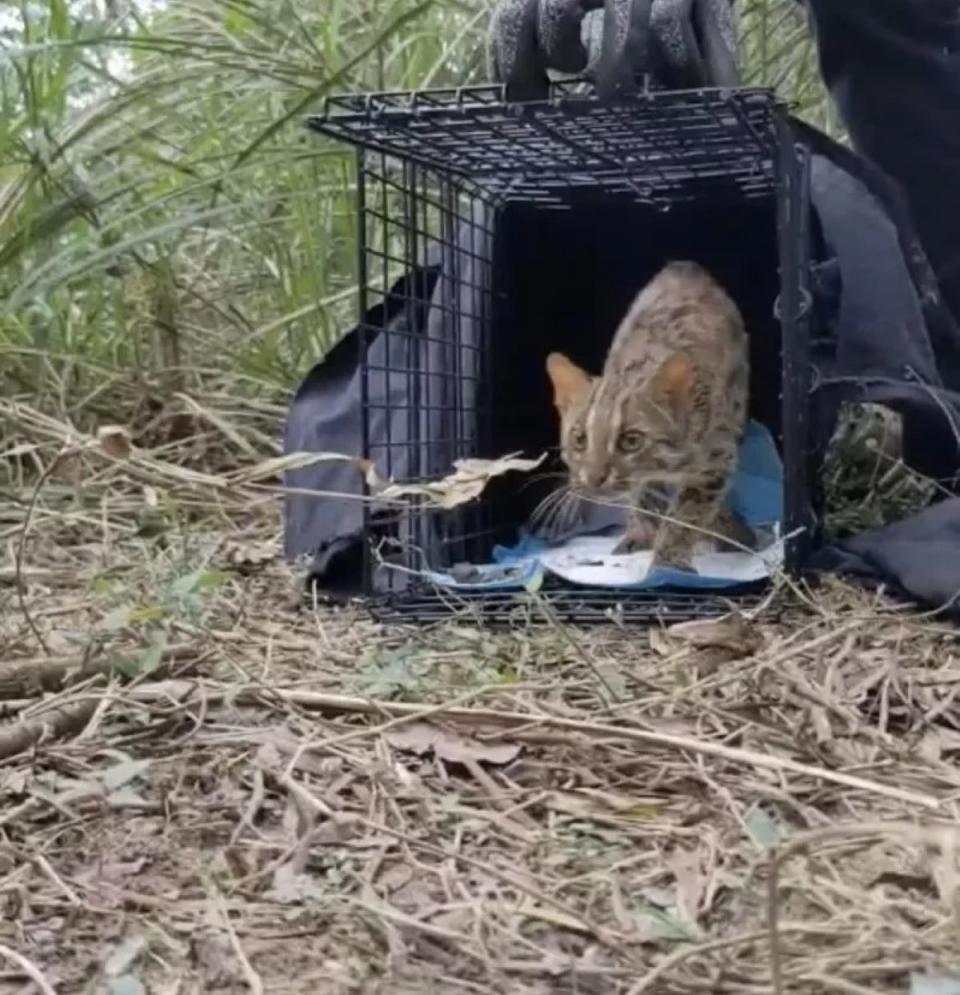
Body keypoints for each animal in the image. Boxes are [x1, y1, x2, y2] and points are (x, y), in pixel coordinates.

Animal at [544, 258, 752, 568]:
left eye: (630, 441)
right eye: (579, 439)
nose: (593, 479)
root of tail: (685, 266)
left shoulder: (717, 460)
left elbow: (686, 514)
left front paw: (669, 559)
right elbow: (643, 496)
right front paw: (641, 534)